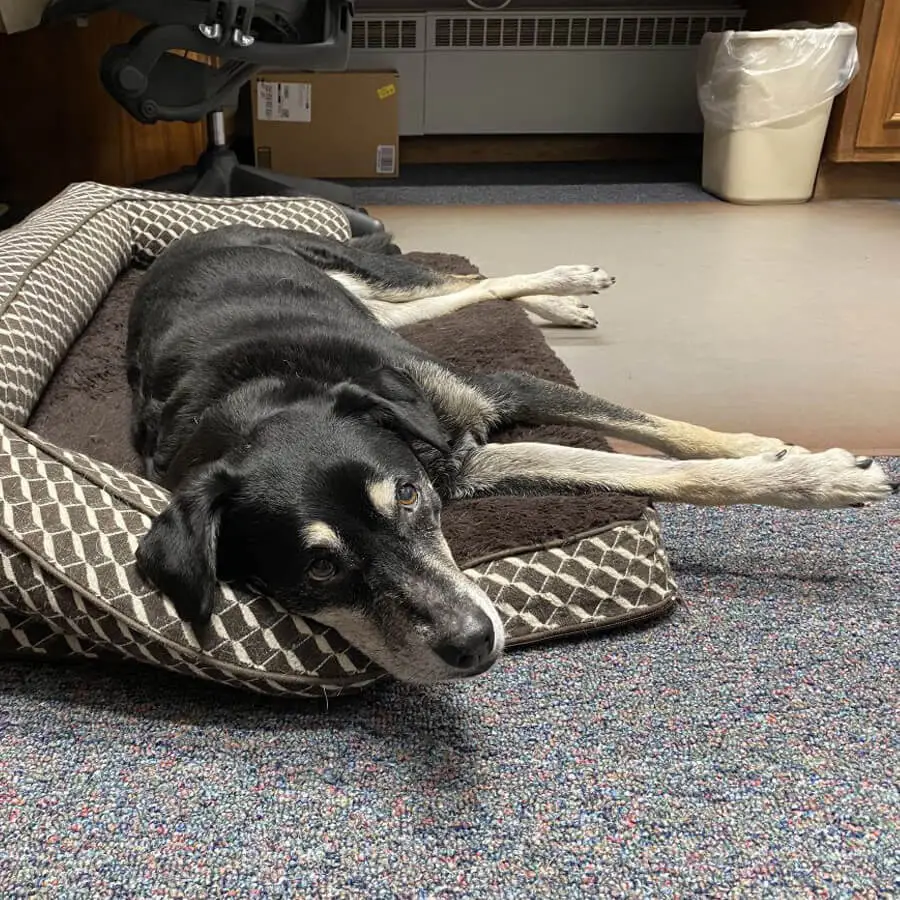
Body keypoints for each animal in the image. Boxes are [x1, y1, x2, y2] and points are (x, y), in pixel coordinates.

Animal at [128, 225, 900, 684]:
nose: (474, 644)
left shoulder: (494, 395)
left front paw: (801, 466)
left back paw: (571, 285)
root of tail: (198, 232)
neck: (265, 396)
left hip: (379, 290)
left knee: (470, 283)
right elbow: (636, 468)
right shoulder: (467, 466)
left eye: (406, 496)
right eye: (318, 568)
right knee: (465, 293)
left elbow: (663, 441)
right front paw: (804, 470)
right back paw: (564, 303)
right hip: (392, 313)